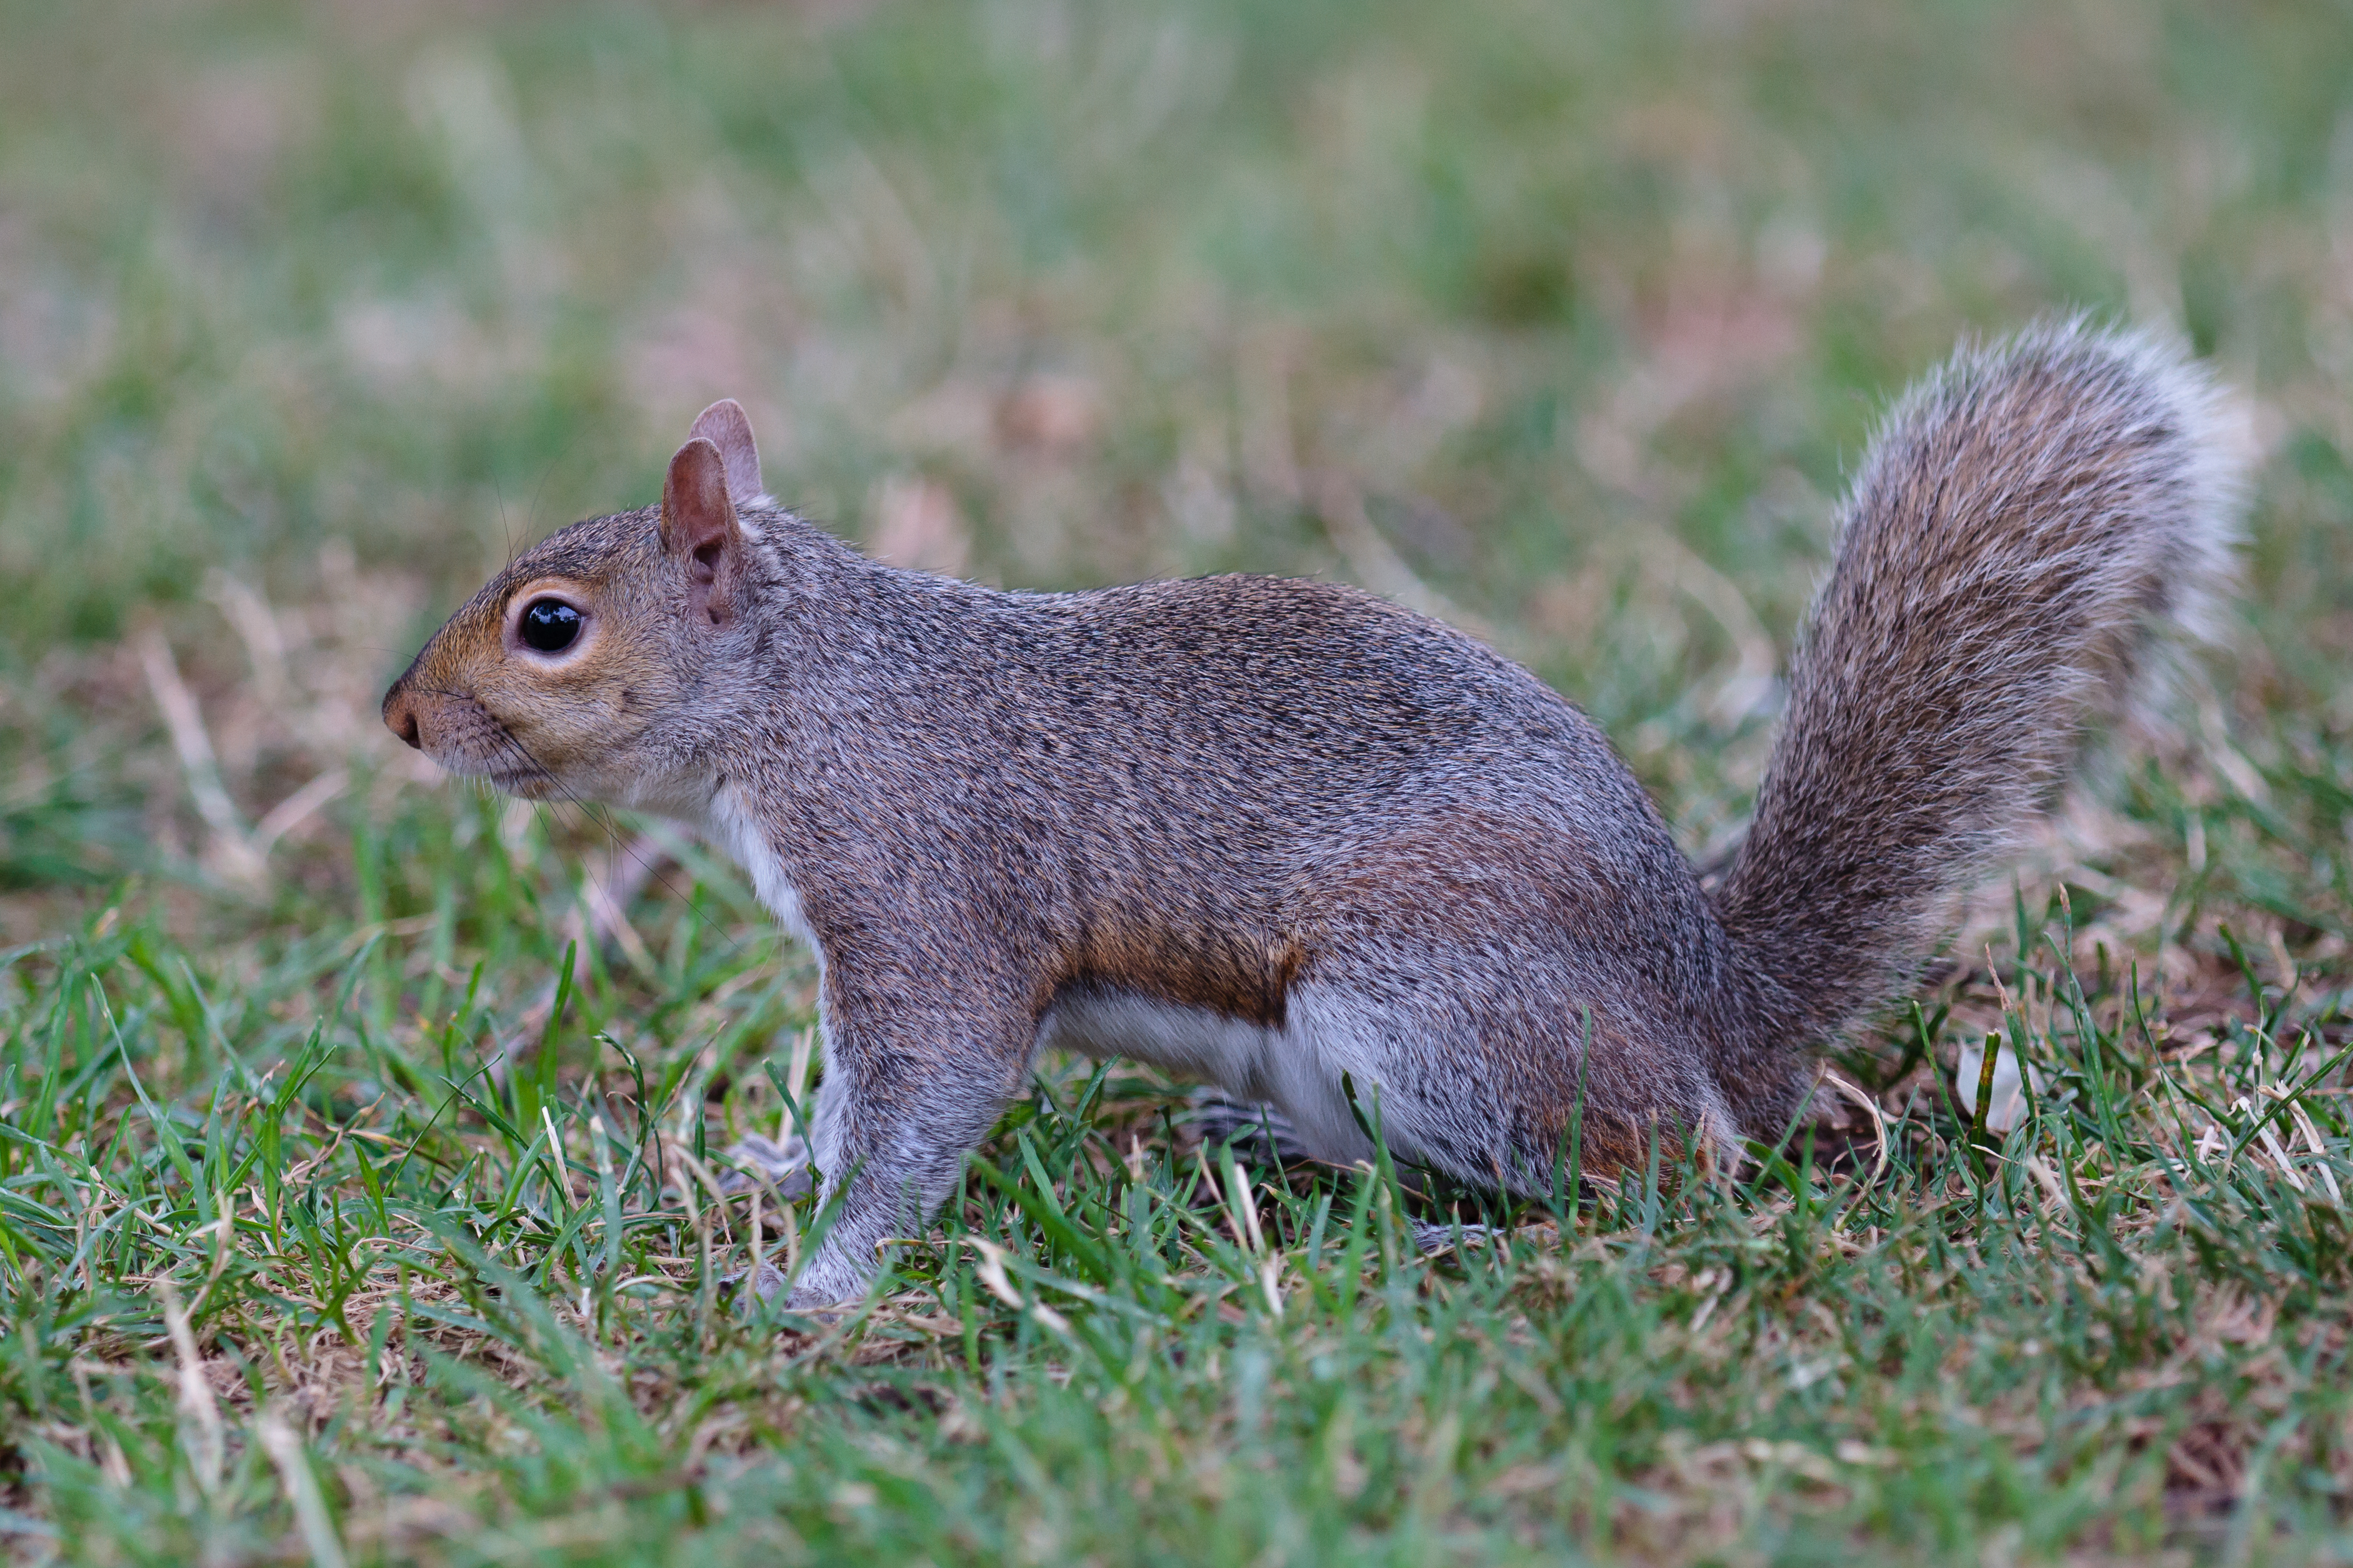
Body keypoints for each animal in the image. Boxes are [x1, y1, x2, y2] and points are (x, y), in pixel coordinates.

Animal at [381, 319, 2240, 1297]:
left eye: (551, 623)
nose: (399, 717)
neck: (803, 684)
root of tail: (1719, 995)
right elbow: (851, 1097)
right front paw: (775, 1168)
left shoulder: (926, 891)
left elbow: (928, 1096)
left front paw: (816, 1284)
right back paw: (1286, 1147)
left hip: (1422, 993)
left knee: (1669, 1155)